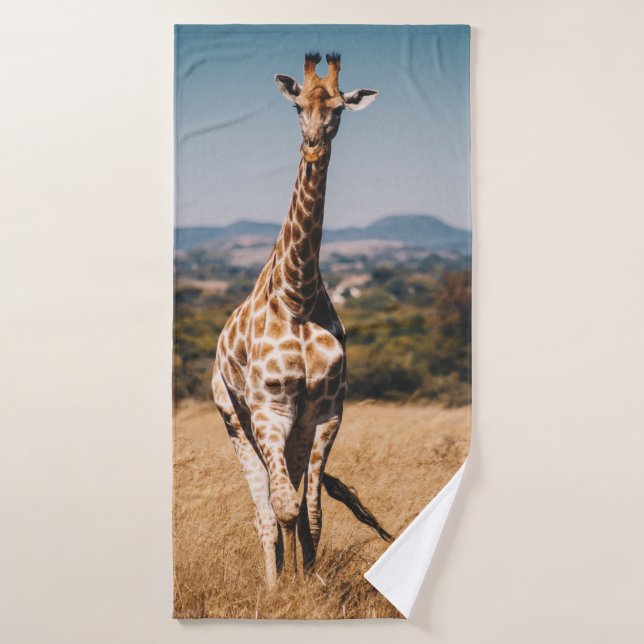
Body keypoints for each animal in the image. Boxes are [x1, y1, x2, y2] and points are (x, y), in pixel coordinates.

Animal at [212, 52, 383, 587]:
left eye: (339, 108)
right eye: (297, 106)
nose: (312, 145)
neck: (298, 297)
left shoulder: (325, 412)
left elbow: (311, 513)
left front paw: (312, 583)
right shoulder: (269, 409)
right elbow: (283, 507)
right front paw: (284, 590)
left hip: (291, 432)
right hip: (235, 420)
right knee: (265, 509)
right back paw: (272, 582)